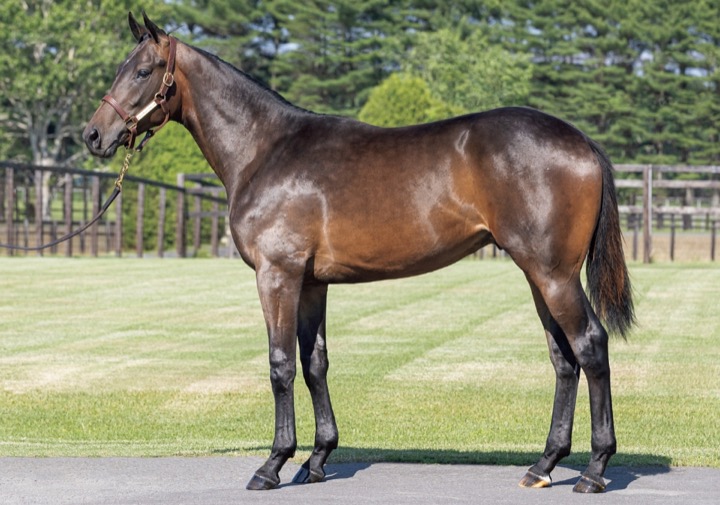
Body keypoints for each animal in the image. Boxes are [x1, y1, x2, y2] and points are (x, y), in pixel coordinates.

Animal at [84, 12, 634, 494]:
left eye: (143, 70)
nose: (93, 135)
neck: (266, 150)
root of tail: (581, 142)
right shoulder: (311, 283)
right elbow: (315, 363)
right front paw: (317, 459)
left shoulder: (277, 275)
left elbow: (281, 364)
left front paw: (273, 464)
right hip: (538, 275)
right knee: (563, 359)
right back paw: (543, 466)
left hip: (553, 274)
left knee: (589, 346)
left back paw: (593, 471)